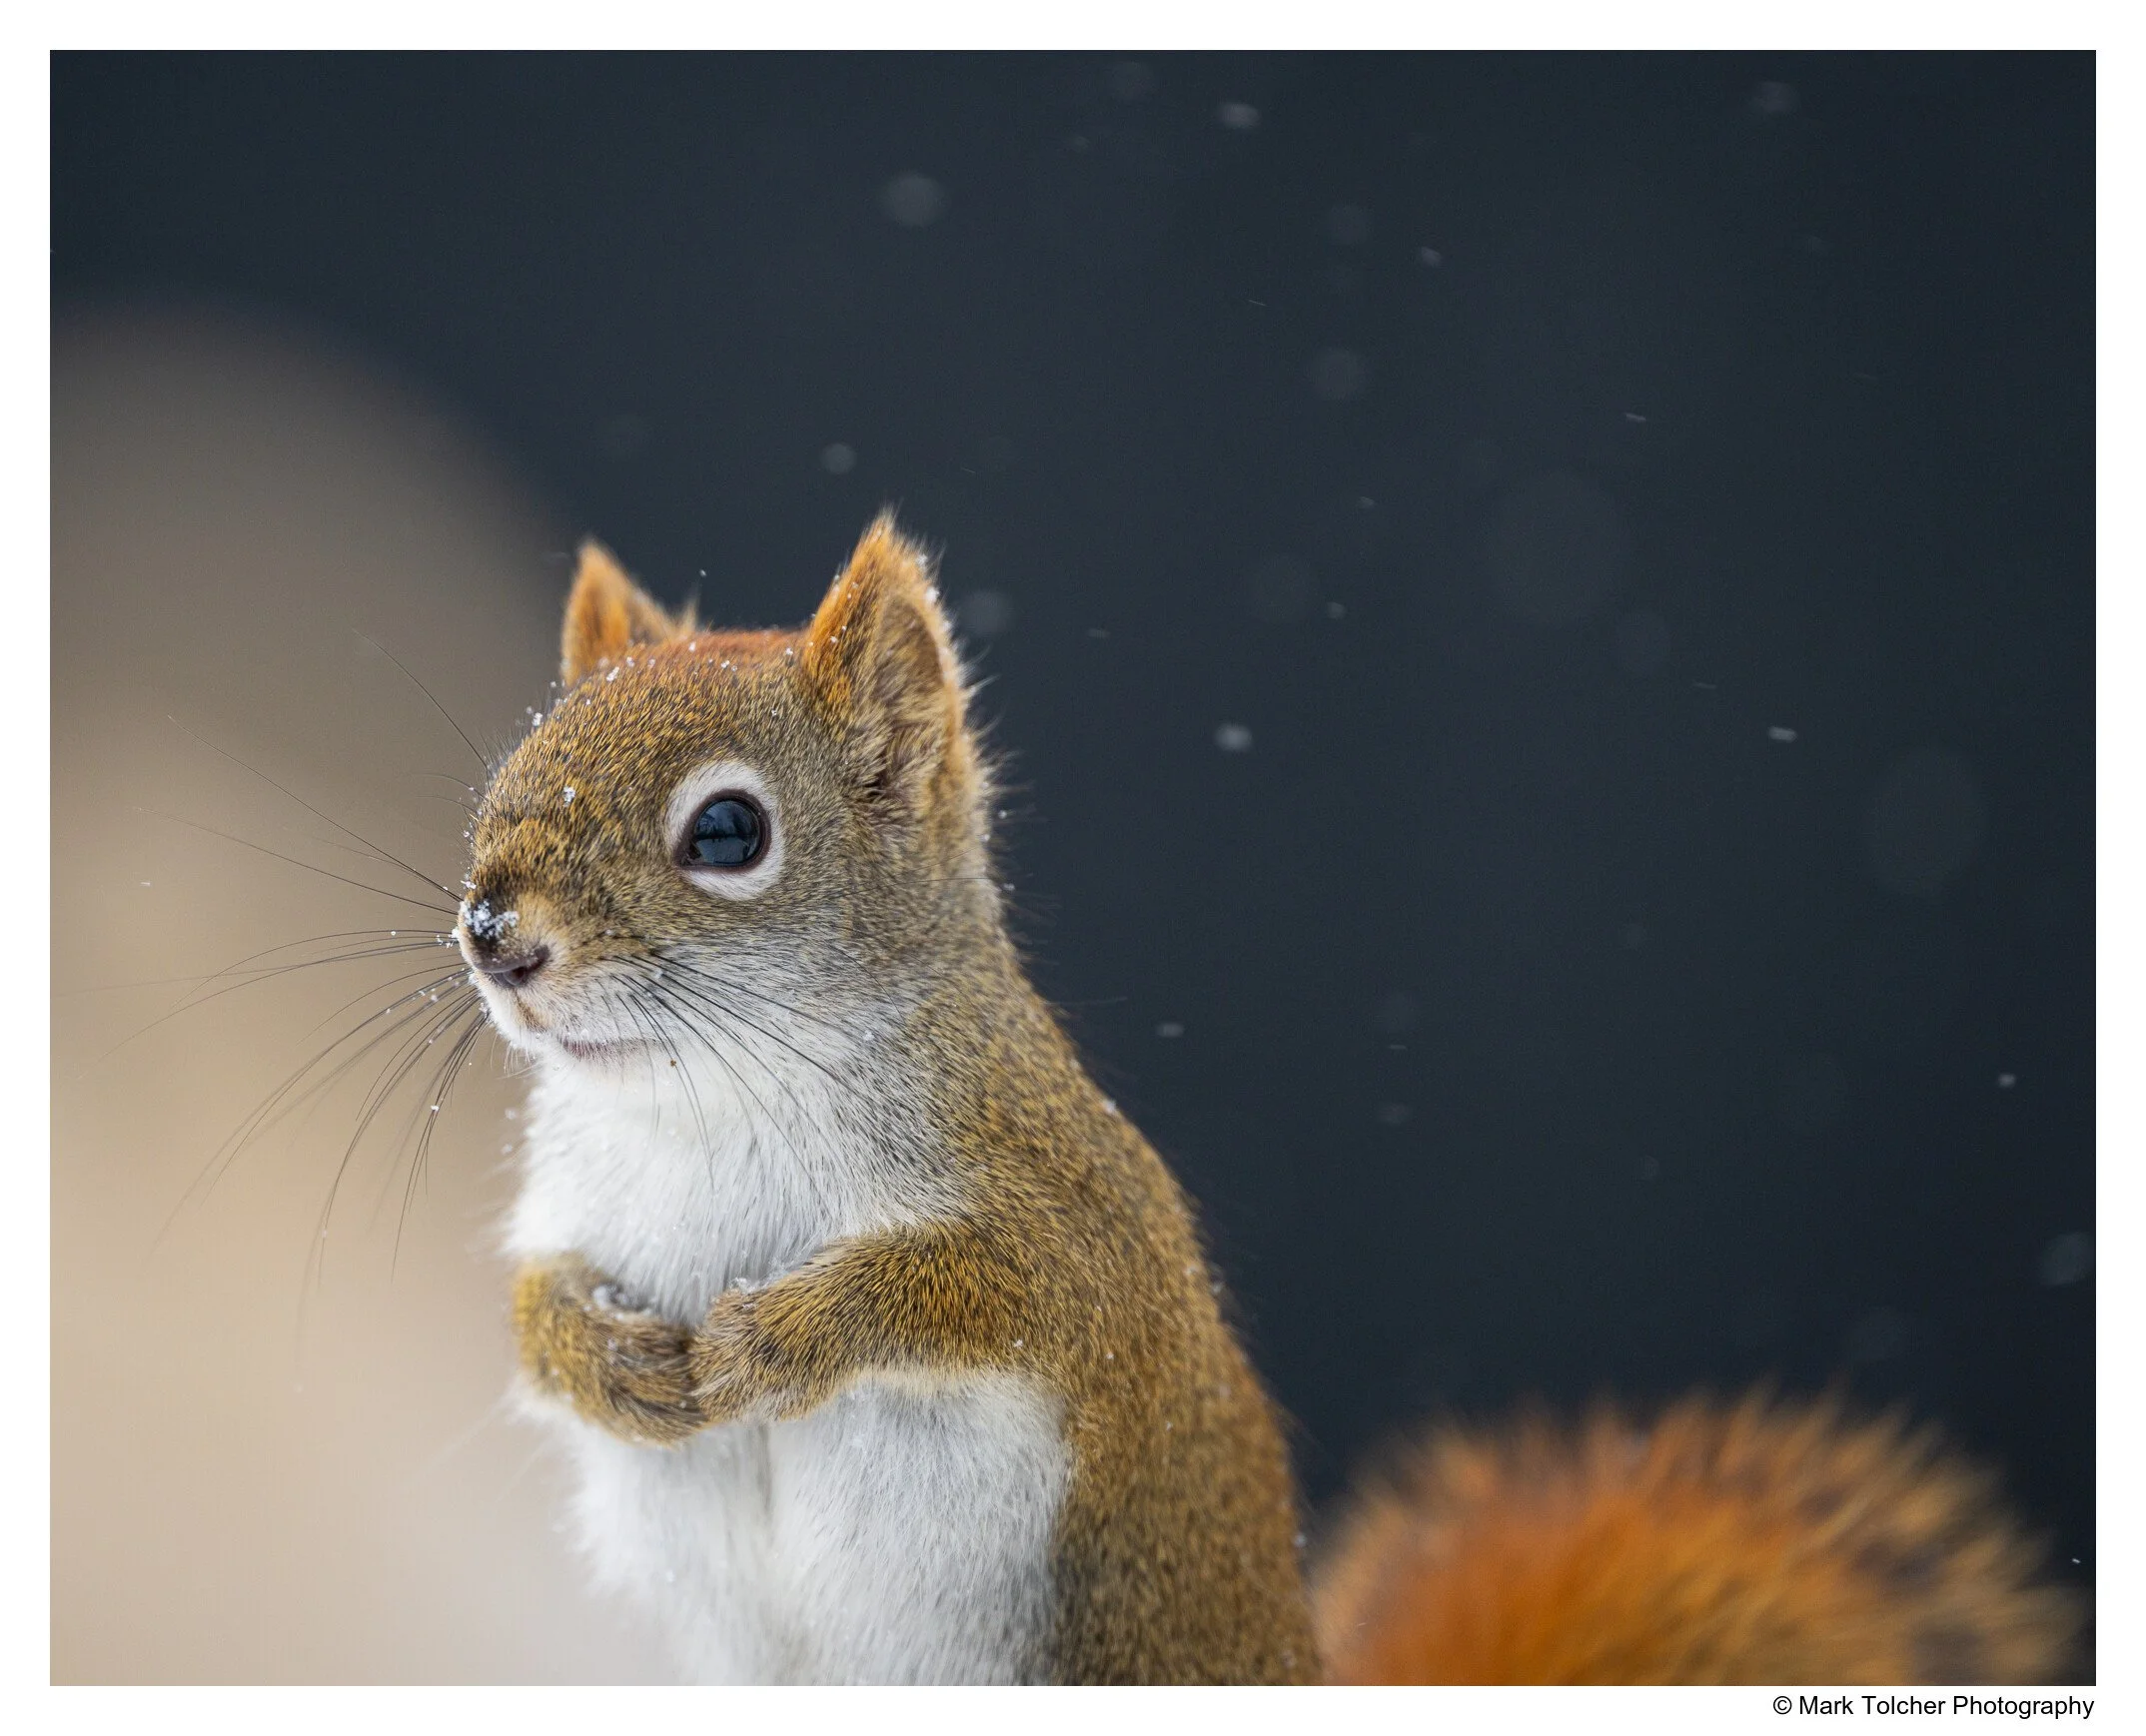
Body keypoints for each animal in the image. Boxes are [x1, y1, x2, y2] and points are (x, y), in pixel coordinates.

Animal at [466, 516, 2080, 1685]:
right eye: (520, 752)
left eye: (728, 831)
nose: (493, 933)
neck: (701, 1098)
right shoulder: (575, 1199)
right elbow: (532, 1304)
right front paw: (601, 1357)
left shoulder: (1073, 1217)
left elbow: (995, 1292)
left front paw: (781, 1335)